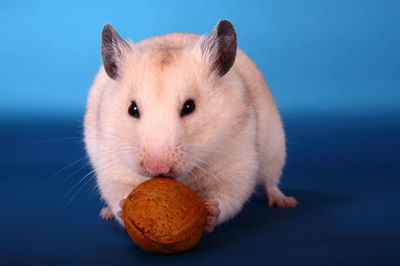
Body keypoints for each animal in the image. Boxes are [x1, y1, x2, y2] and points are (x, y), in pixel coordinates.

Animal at [83, 19, 296, 232]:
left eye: (189, 107)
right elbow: (117, 190)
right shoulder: (113, 162)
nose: (158, 167)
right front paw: (121, 208)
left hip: (276, 151)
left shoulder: (237, 160)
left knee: (270, 182)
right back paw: (106, 213)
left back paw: (286, 202)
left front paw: (209, 211)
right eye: (132, 109)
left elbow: (227, 194)